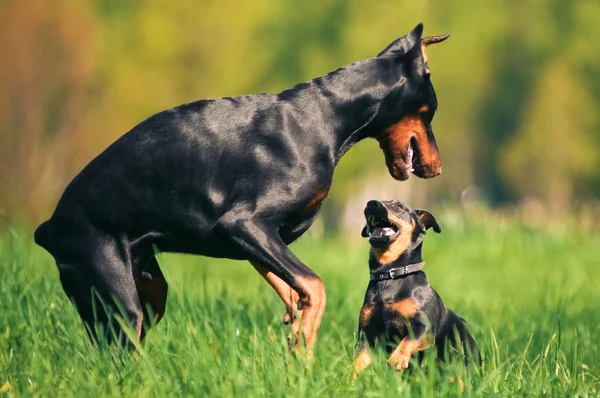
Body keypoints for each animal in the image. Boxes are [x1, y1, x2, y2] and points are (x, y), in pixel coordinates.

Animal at [354, 201, 480, 374]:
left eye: (399, 207)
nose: (371, 203)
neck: (389, 275)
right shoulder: (366, 333)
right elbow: (359, 360)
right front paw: (349, 378)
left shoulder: (425, 327)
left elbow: (409, 339)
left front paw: (397, 358)